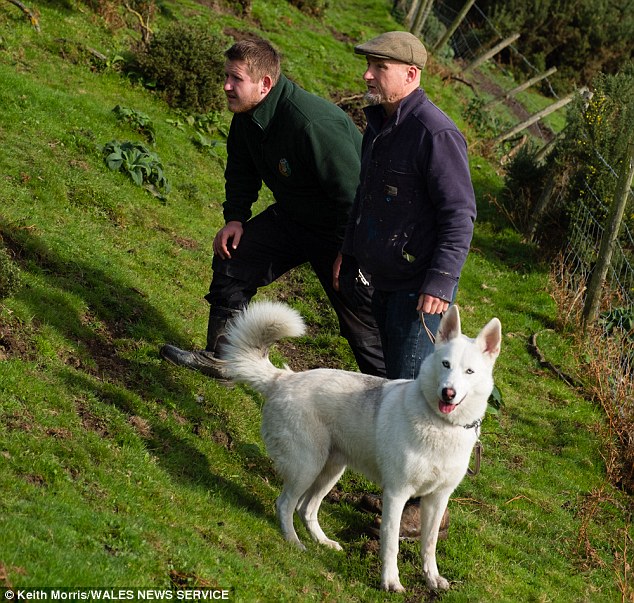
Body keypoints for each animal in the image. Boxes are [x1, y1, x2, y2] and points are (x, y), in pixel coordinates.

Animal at [220, 300, 502, 592]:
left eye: (469, 372)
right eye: (445, 364)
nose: (448, 393)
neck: (441, 425)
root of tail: (283, 379)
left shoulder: (437, 499)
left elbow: (429, 544)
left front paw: (432, 579)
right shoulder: (396, 494)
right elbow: (390, 544)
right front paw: (390, 581)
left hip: (331, 471)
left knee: (305, 509)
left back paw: (322, 542)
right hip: (306, 468)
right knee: (285, 504)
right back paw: (294, 542)